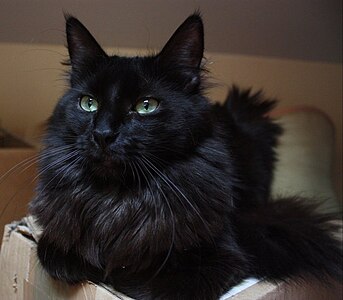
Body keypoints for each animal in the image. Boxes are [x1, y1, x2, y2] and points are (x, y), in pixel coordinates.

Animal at [29, 12, 342, 298]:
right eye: (88, 103)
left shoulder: (226, 258)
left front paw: (116, 273)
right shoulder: (54, 239)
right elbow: (53, 252)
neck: (118, 198)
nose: (103, 134)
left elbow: (146, 283)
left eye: (146, 106)